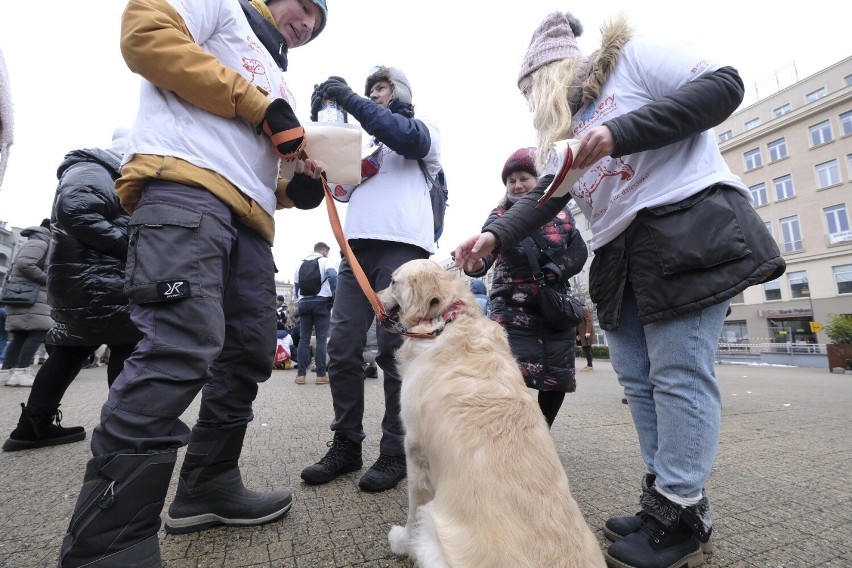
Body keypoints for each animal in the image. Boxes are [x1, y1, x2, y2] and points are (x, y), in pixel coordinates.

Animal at [380, 260, 604, 564]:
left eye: (393, 282)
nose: (376, 298)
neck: (447, 319)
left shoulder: (415, 449)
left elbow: (413, 508)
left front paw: (401, 541)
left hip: (432, 531)